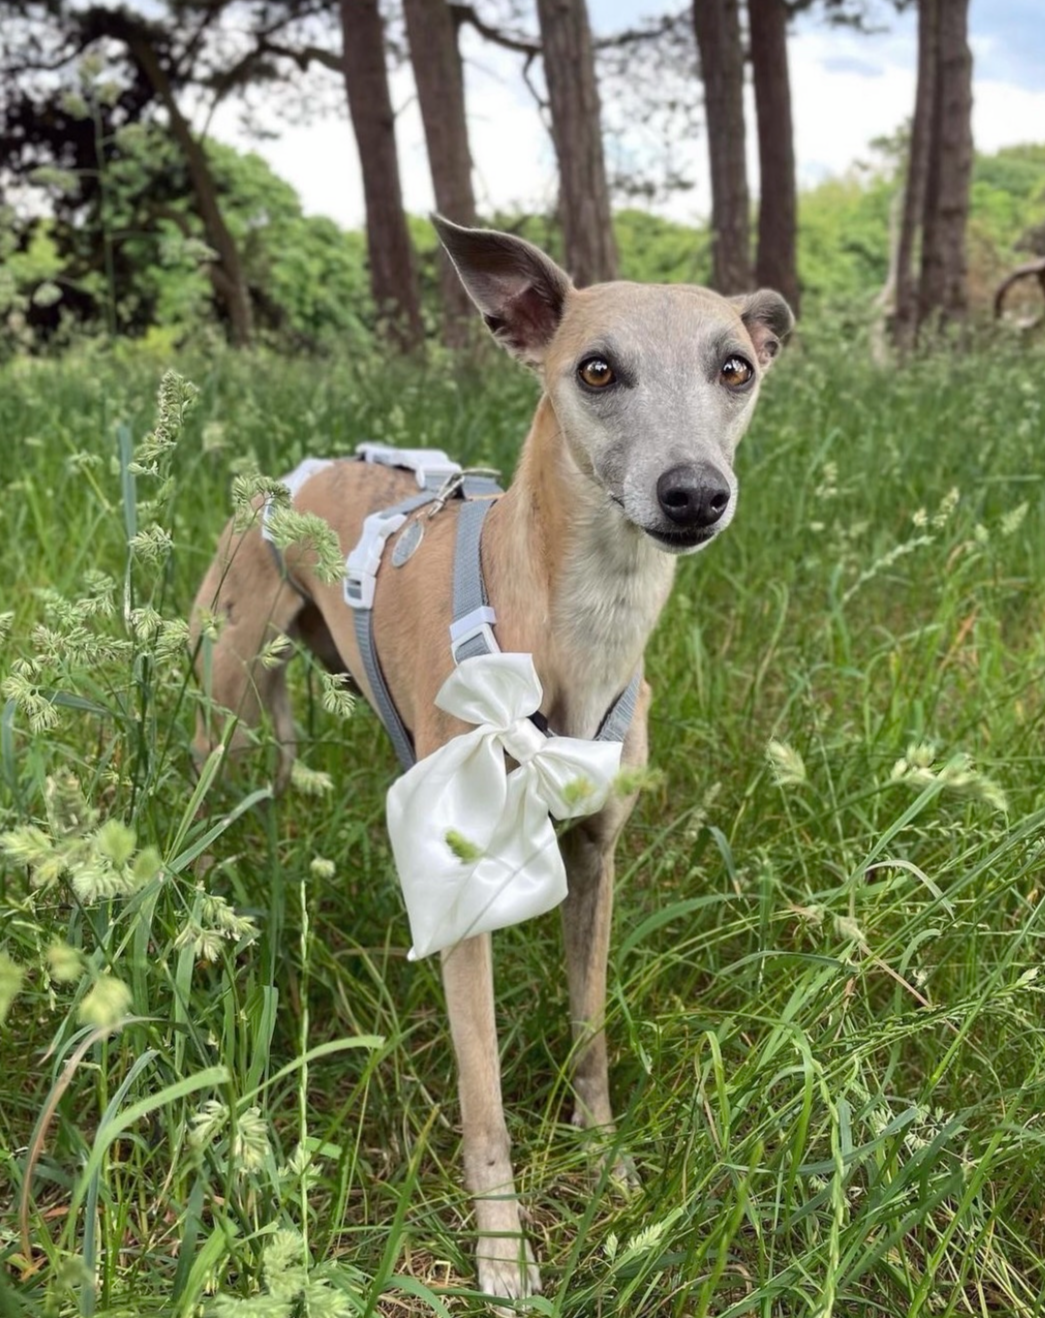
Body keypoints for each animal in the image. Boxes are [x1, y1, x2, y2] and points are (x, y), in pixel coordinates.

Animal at [191, 221, 790, 1302]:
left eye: (735, 367)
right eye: (595, 369)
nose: (692, 493)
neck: (573, 626)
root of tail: (293, 475)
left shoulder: (596, 856)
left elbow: (590, 1030)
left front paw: (603, 1160)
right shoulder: (458, 896)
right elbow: (482, 1100)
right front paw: (503, 1252)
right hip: (225, 709)